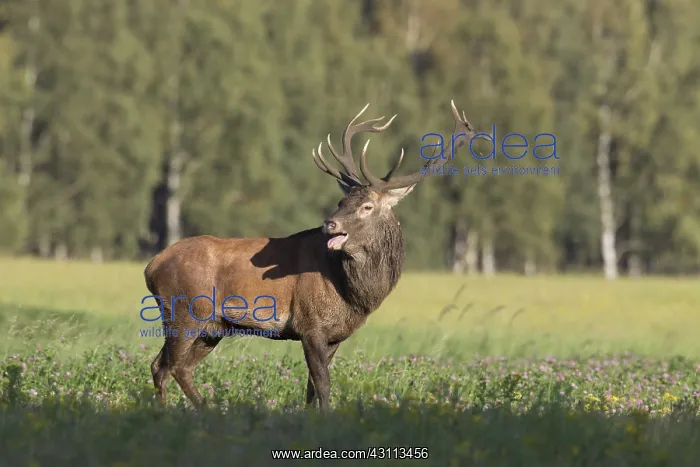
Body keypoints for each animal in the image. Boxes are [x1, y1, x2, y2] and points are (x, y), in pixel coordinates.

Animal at [143, 100, 482, 411]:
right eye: (341, 201)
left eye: (366, 206)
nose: (329, 223)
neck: (353, 296)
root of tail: (151, 266)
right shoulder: (310, 324)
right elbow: (323, 383)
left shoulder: (334, 336)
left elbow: (310, 387)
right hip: (184, 311)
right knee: (167, 365)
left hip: (213, 327)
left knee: (172, 365)